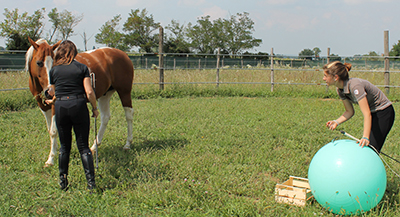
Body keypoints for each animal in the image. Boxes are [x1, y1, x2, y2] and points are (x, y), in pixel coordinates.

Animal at [26, 37, 136, 166]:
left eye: (54, 62)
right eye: (39, 62)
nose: (51, 91)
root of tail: (124, 55)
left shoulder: (54, 107)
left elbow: (53, 131)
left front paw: (50, 160)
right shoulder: (43, 108)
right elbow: (50, 131)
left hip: (124, 91)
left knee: (129, 115)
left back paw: (127, 144)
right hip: (105, 95)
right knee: (105, 117)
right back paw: (94, 147)